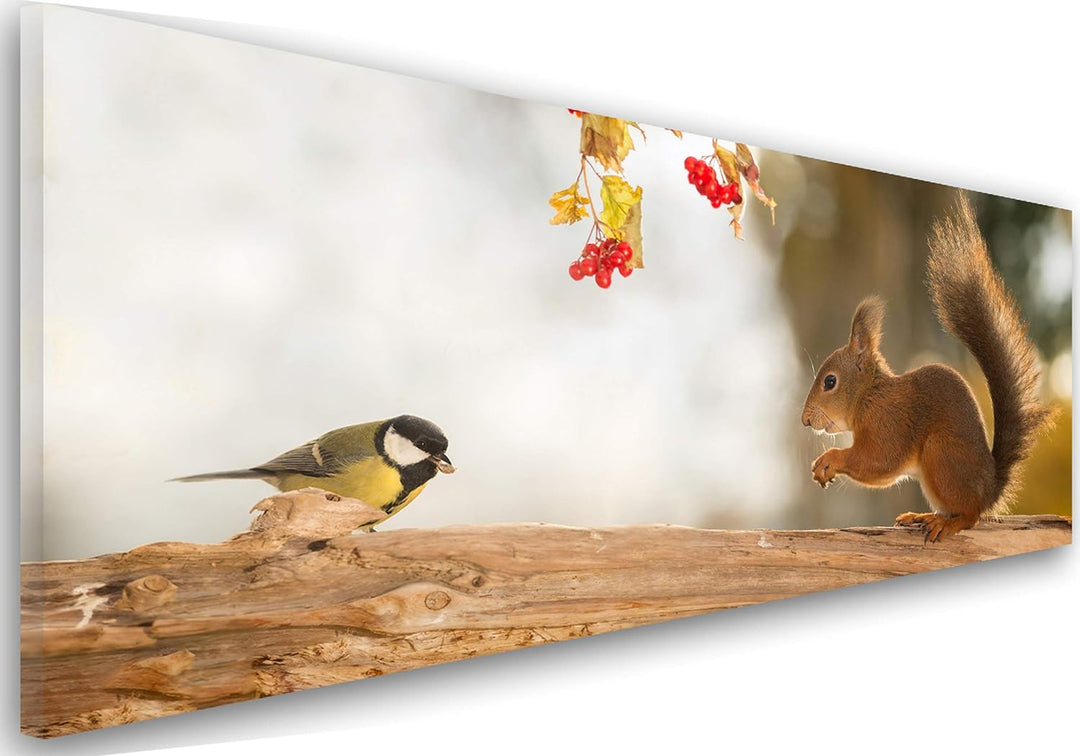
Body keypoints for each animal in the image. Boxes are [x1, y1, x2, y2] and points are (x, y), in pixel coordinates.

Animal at [800, 193, 1054, 542]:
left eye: (829, 382)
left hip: (940, 454)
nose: (805, 420)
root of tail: (989, 490)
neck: (870, 396)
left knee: (970, 516)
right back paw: (920, 516)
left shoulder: (889, 424)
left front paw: (829, 459)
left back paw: (946, 523)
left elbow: (877, 460)